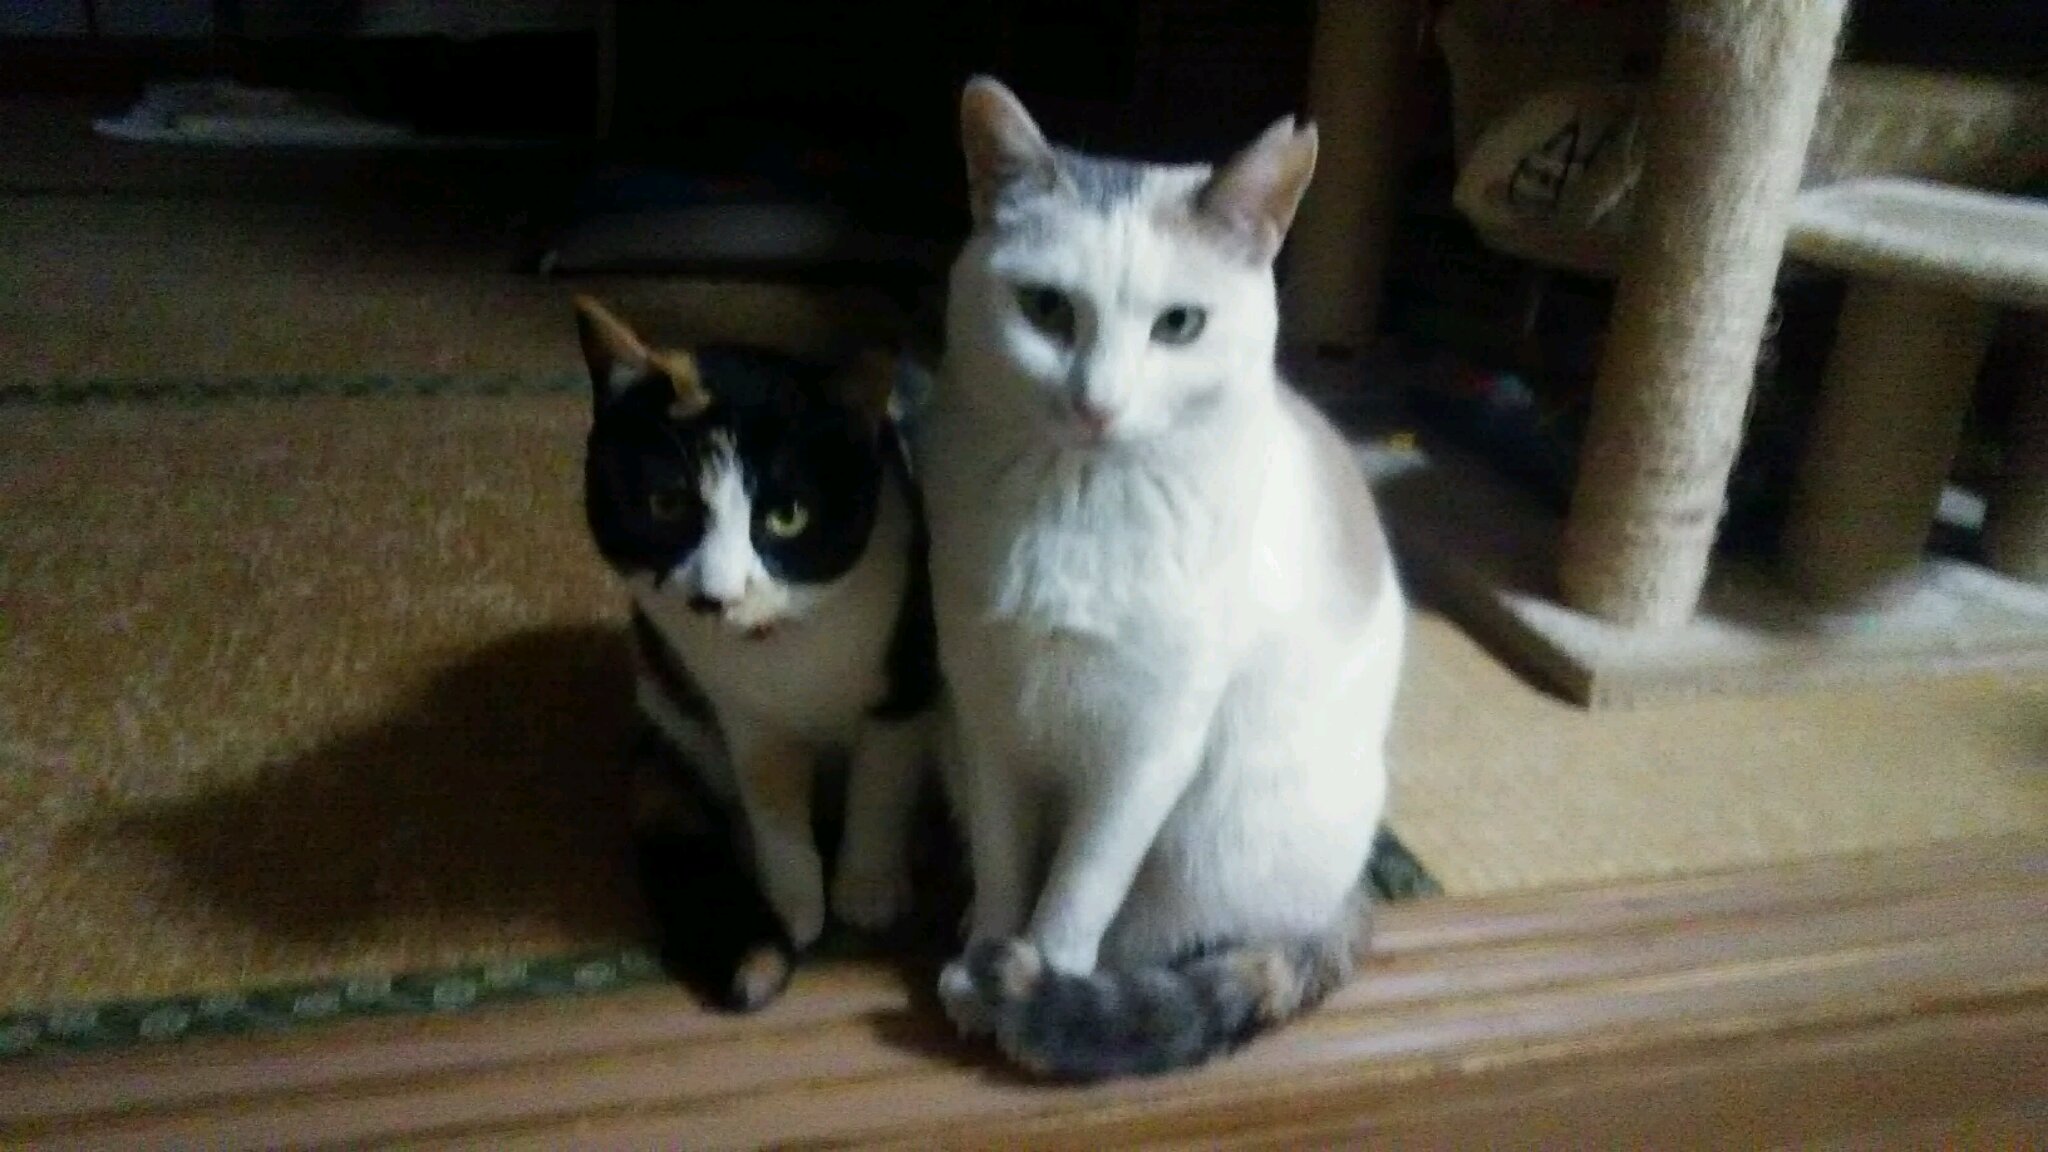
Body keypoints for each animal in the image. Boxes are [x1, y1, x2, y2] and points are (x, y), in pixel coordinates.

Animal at [575, 296, 940, 1010]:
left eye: (787, 516)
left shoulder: (908, 674)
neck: (787, 640)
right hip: (671, 705)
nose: (718, 595)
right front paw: (790, 903)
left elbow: (883, 781)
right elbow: (771, 797)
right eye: (666, 503)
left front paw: (867, 887)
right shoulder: (746, 714)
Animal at [919, 79, 1408, 1079]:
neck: (1074, 500)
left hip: (1213, 851)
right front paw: (984, 954)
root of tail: (1352, 888)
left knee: (1159, 936)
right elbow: (1003, 859)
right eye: (1045, 308)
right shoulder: (985, 716)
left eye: (1179, 324)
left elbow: (1077, 890)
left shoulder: (1148, 745)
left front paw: (1030, 984)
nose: (1096, 404)